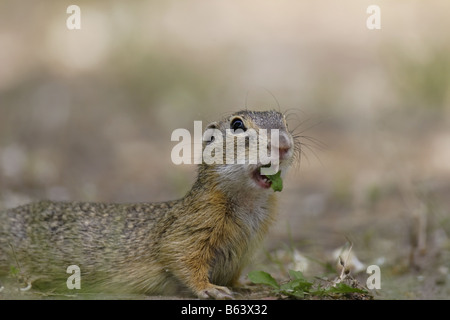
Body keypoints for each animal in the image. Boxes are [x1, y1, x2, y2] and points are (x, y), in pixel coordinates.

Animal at [0, 110, 298, 300]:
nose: (283, 144)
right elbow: (180, 257)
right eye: (237, 125)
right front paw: (209, 288)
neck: (250, 203)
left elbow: (235, 274)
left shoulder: (245, 250)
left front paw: (246, 284)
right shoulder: (192, 228)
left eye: (284, 120)